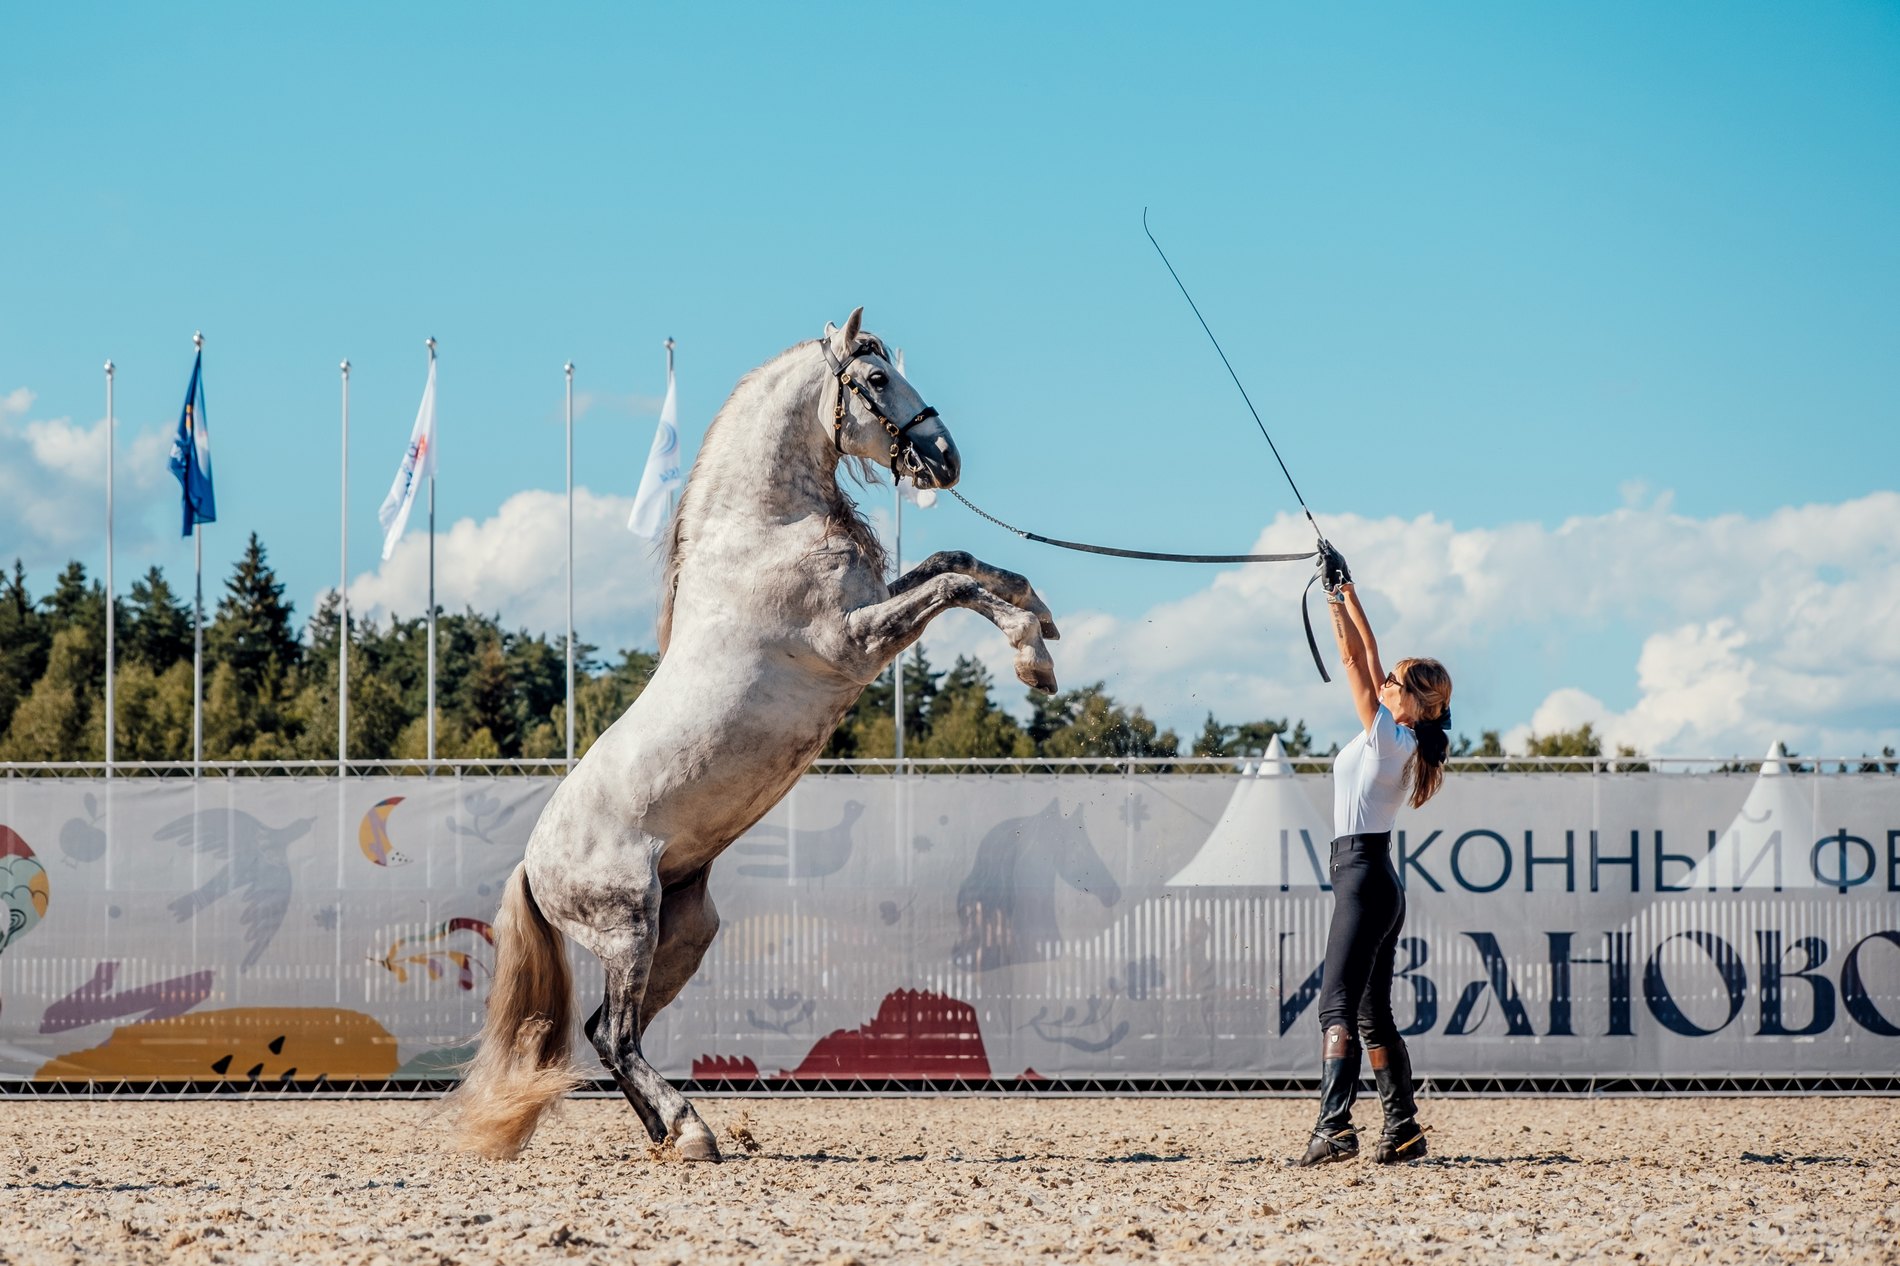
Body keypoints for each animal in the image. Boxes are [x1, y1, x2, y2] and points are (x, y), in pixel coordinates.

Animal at [454, 309, 1064, 1155]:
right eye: (876, 379)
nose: (945, 458)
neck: (763, 532)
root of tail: (534, 870)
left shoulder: (874, 608)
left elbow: (957, 557)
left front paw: (1040, 614)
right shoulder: (855, 641)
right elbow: (952, 584)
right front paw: (1031, 654)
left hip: (684, 930)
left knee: (609, 1029)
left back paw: (669, 1134)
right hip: (628, 926)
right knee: (616, 1034)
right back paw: (690, 1130)